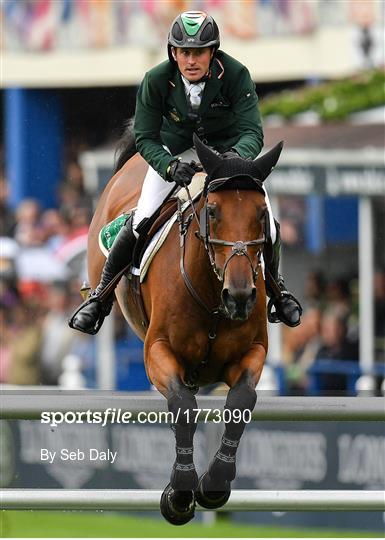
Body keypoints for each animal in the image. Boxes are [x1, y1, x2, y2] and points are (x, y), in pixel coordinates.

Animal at [88, 129, 284, 524]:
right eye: (213, 211)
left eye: (262, 215)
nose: (240, 297)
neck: (212, 297)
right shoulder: (157, 352)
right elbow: (182, 406)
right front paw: (179, 492)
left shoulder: (252, 353)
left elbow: (241, 402)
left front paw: (215, 482)